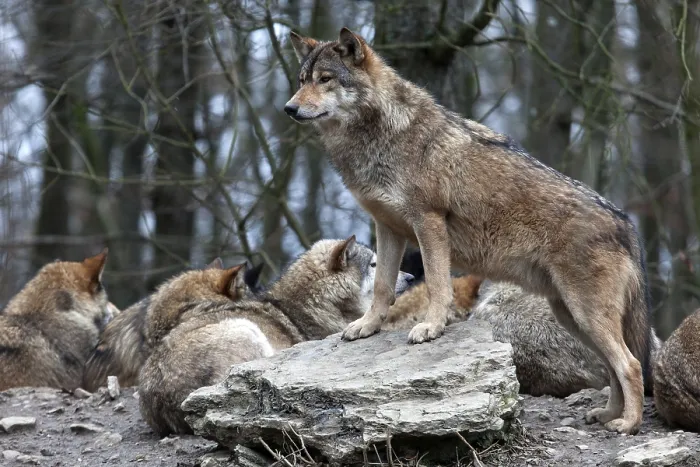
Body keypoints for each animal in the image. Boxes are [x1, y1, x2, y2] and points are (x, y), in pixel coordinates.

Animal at [285, 28, 652, 434]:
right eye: (301, 80)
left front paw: (431, 328)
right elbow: (382, 287)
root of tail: (625, 223)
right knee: (614, 367)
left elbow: (436, 284)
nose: (289, 108)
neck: (383, 135)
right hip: (570, 317)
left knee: (630, 365)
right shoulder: (388, 228)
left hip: (585, 315)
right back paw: (608, 415)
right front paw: (367, 326)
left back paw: (628, 424)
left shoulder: (428, 222)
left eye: (325, 79)